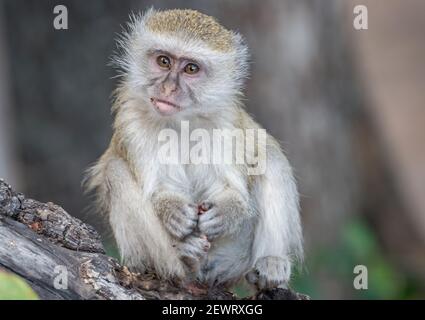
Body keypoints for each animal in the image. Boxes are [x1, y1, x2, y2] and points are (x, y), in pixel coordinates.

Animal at [85, 8, 302, 290]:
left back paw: (271, 262)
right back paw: (182, 257)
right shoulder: (131, 121)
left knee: (270, 154)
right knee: (115, 170)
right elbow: (158, 187)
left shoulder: (225, 123)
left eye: (190, 68)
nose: (168, 88)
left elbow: (232, 186)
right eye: (164, 61)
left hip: (234, 256)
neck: (181, 121)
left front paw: (227, 212)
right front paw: (171, 210)